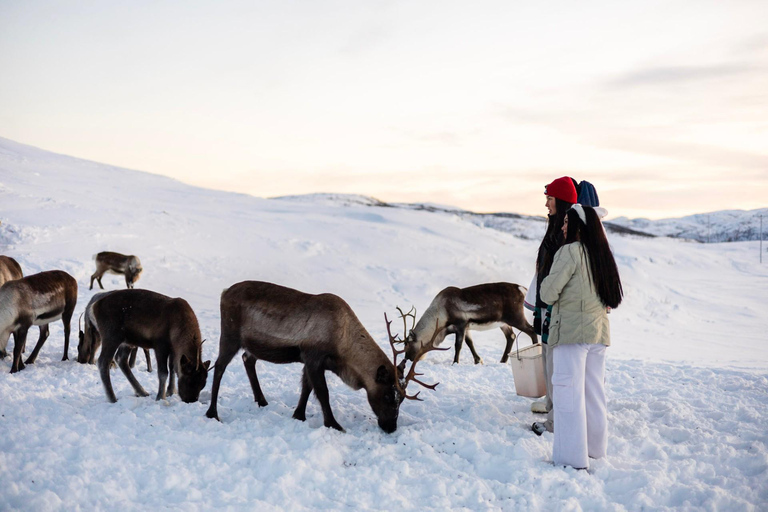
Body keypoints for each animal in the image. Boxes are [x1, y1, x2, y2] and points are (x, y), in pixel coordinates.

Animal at [205, 281, 444, 433]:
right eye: (387, 395)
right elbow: (322, 392)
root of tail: (224, 293)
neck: (343, 344)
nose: (391, 427)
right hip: (230, 335)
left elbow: (306, 388)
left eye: (401, 399)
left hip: (252, 345)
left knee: (248, 360)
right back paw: (212, 413)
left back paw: (262, 401)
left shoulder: (311, 361)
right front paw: (333, 424)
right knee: (218, 367)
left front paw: (298, 415)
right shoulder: (314, 357)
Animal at [403, 282, 538, 365]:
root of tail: (522, 289)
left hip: (515, 317)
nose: (407, 359)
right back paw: (502, 361)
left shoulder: (461, 324)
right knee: (511, 336)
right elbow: (470, 343)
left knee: (532, 331)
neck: (441, 313)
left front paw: (455, 363)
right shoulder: (466, 327)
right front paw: (478, 360)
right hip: (503, 323)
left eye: (409, 345)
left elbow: (458, 345)